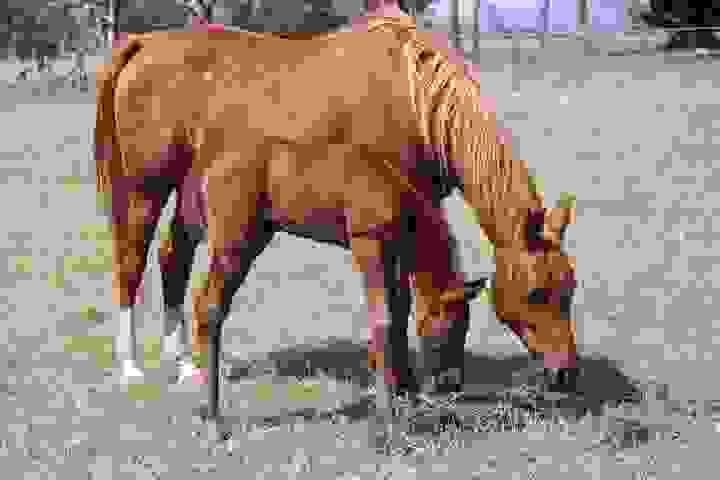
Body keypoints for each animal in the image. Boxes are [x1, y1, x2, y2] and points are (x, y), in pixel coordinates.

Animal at [94, 11, 577, 450]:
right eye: (537, 294)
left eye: (569, 289)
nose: (566, 373)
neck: (413, 94)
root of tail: (142, 43)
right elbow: (395, 306)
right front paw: (399, 390)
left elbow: (401, 303)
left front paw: (403, 387)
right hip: (144, 190)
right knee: (130, 262)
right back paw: (131, 367)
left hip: (192, 197)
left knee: (173, 258)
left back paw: (184, 366)